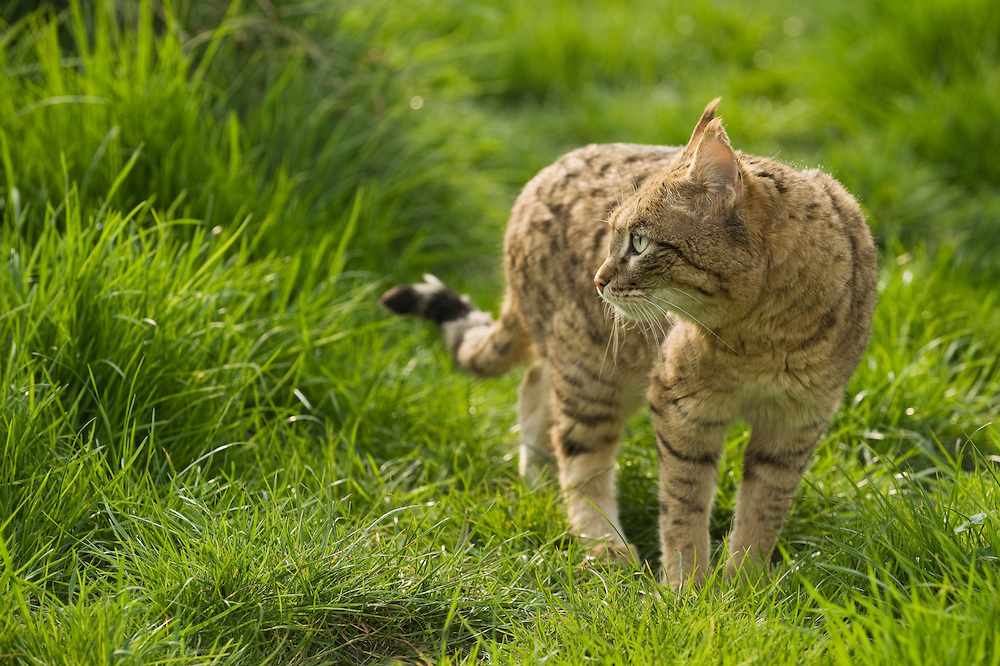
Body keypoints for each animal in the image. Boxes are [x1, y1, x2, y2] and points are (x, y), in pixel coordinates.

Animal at [380, 98, 876, 588]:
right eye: (615, 238)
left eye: (639, 242)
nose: (598, 280)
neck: (762, 341)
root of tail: (530, 189)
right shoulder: (681, 408)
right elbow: (683, 509)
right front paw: (689, 592)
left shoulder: (797, 422)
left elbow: (763, 512)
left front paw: (744, 587)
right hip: (592, 372)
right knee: (578, 453)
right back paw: (604, 546)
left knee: (536, 384)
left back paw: (538, 483)